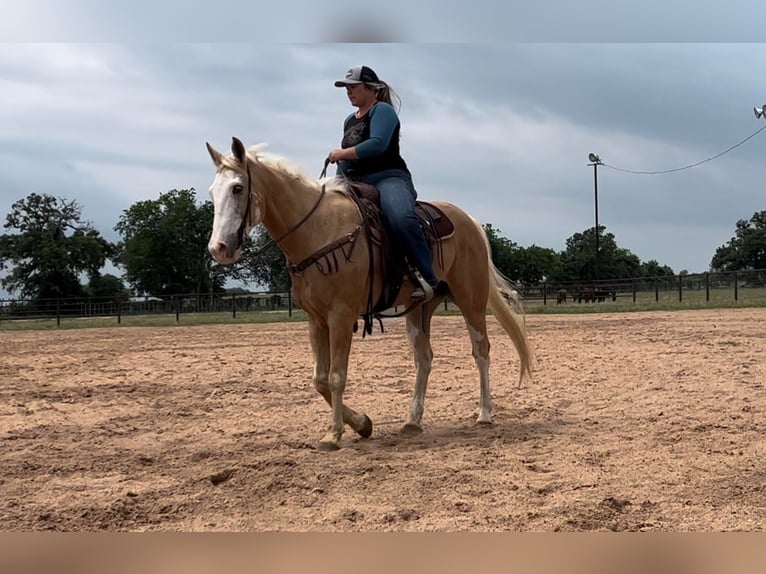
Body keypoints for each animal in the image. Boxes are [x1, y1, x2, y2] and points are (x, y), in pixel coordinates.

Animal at [207, 137, 536, 452]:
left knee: (481, 351)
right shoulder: (316, 319)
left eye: (237, 188)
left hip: (472, 301)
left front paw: (334, 435)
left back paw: (484, 413)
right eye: (212, 192)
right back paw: (412, 421)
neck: (319, 231)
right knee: (424, 359)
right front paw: (363, 424)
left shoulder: (341, 315)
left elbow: (336, 377)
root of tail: (470, 221)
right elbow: (320, 379)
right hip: (421, 309)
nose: (218, 248)